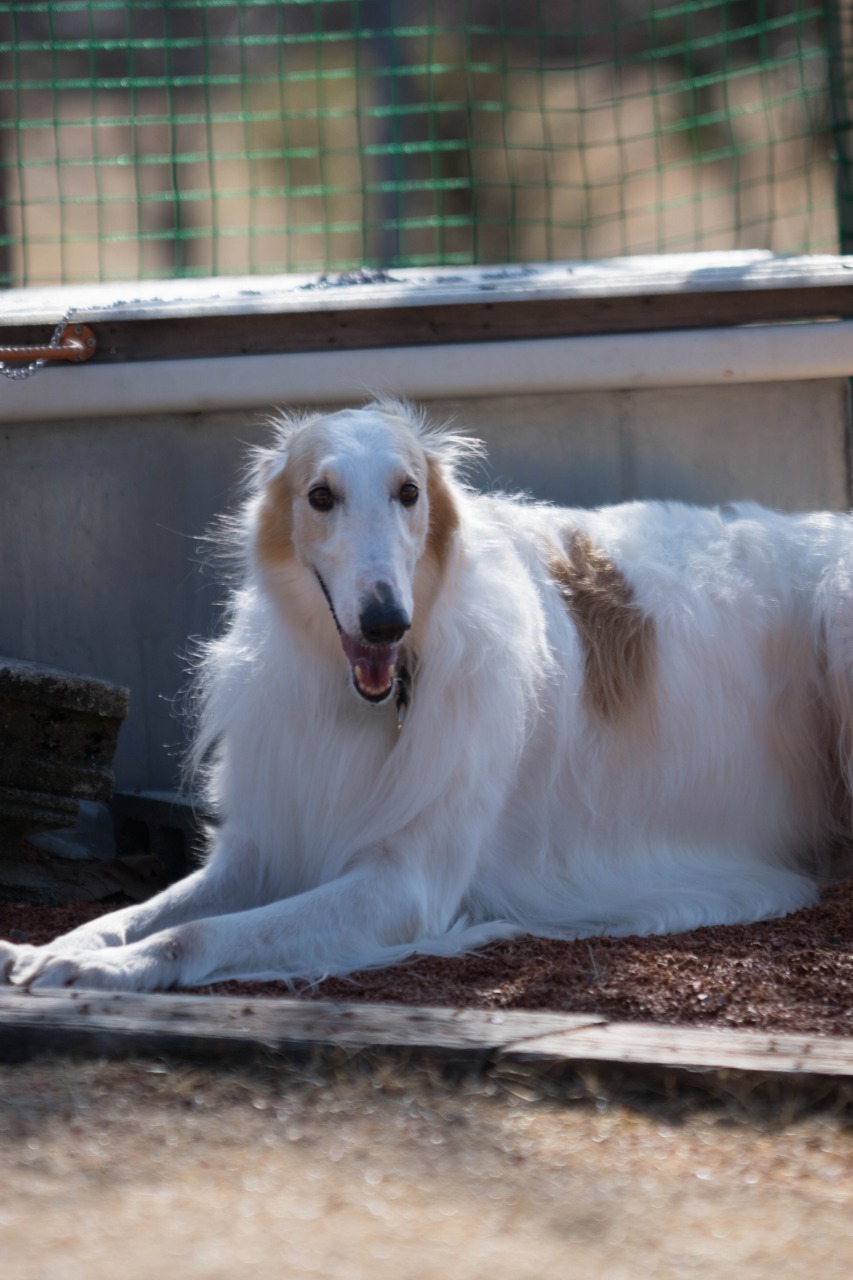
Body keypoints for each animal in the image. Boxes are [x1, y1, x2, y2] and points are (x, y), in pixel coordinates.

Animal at [1, 399, 850, 988]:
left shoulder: (402, 883)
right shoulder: (261, 848)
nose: (385, 621)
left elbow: (199, 934)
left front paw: (112, 969)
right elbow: (136, 913)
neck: (365, 702)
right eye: (319, 496)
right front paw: (58, 946)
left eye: (408, 492)